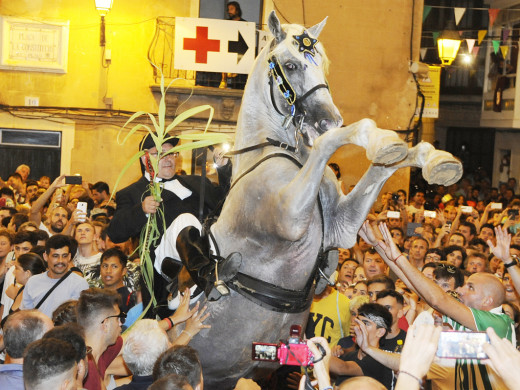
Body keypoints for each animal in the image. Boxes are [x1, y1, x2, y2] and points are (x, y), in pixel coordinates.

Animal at [188, 10, 464, 388]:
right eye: (290, 65)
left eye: (324, 65)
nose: (328, 118)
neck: (277, 151)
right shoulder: (290, 216)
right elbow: (332, 140)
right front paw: (377, 138)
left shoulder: (341, 227)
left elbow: (390, 161)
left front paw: (433, 159)